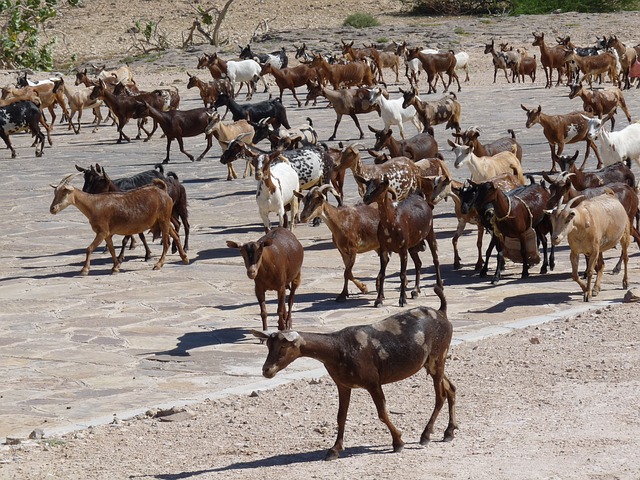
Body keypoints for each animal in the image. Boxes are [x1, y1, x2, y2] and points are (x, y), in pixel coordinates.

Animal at [252, 286, 458, 460]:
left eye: (283, 346)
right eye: (268, 346)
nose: (267, 370)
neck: (338, 348)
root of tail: (442, 312)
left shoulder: (373, 382)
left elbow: (382, 413)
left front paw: (398, 442)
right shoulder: (343, 384)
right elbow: (341, 416)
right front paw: (334, 449)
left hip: (438, 356)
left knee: (440, 395)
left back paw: (426, 435)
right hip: (430, 363)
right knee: (451, 388)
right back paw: (449, 432)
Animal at [358, 176, 442, 308]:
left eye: (380, 186)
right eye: (367, 184)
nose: (366, 198)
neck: (391, 222)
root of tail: (419, 196)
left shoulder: (402, 248)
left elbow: (402, 274)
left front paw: (402, 300)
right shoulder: (384, 247)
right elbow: (382, 274)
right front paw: (378, 300)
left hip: (430, 231)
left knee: (435, 258)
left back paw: (439, 286)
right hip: (412, 245)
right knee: (418, 263)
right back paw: (415, 291)